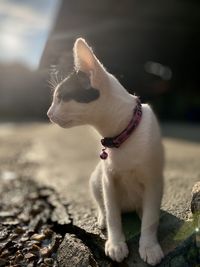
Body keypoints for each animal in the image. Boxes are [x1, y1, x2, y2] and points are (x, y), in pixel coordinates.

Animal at [47, 37, 164, 266]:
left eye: (61, 97)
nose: (48, 114)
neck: (122, 134)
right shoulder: (108, 180)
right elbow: (112, 215)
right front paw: (116, 244)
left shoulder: (154, 180)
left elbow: (150, 220)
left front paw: (149, 246)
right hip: (96, 178)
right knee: (104, 205)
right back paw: (102, 218)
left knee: (146, 209)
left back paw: (141, 211)